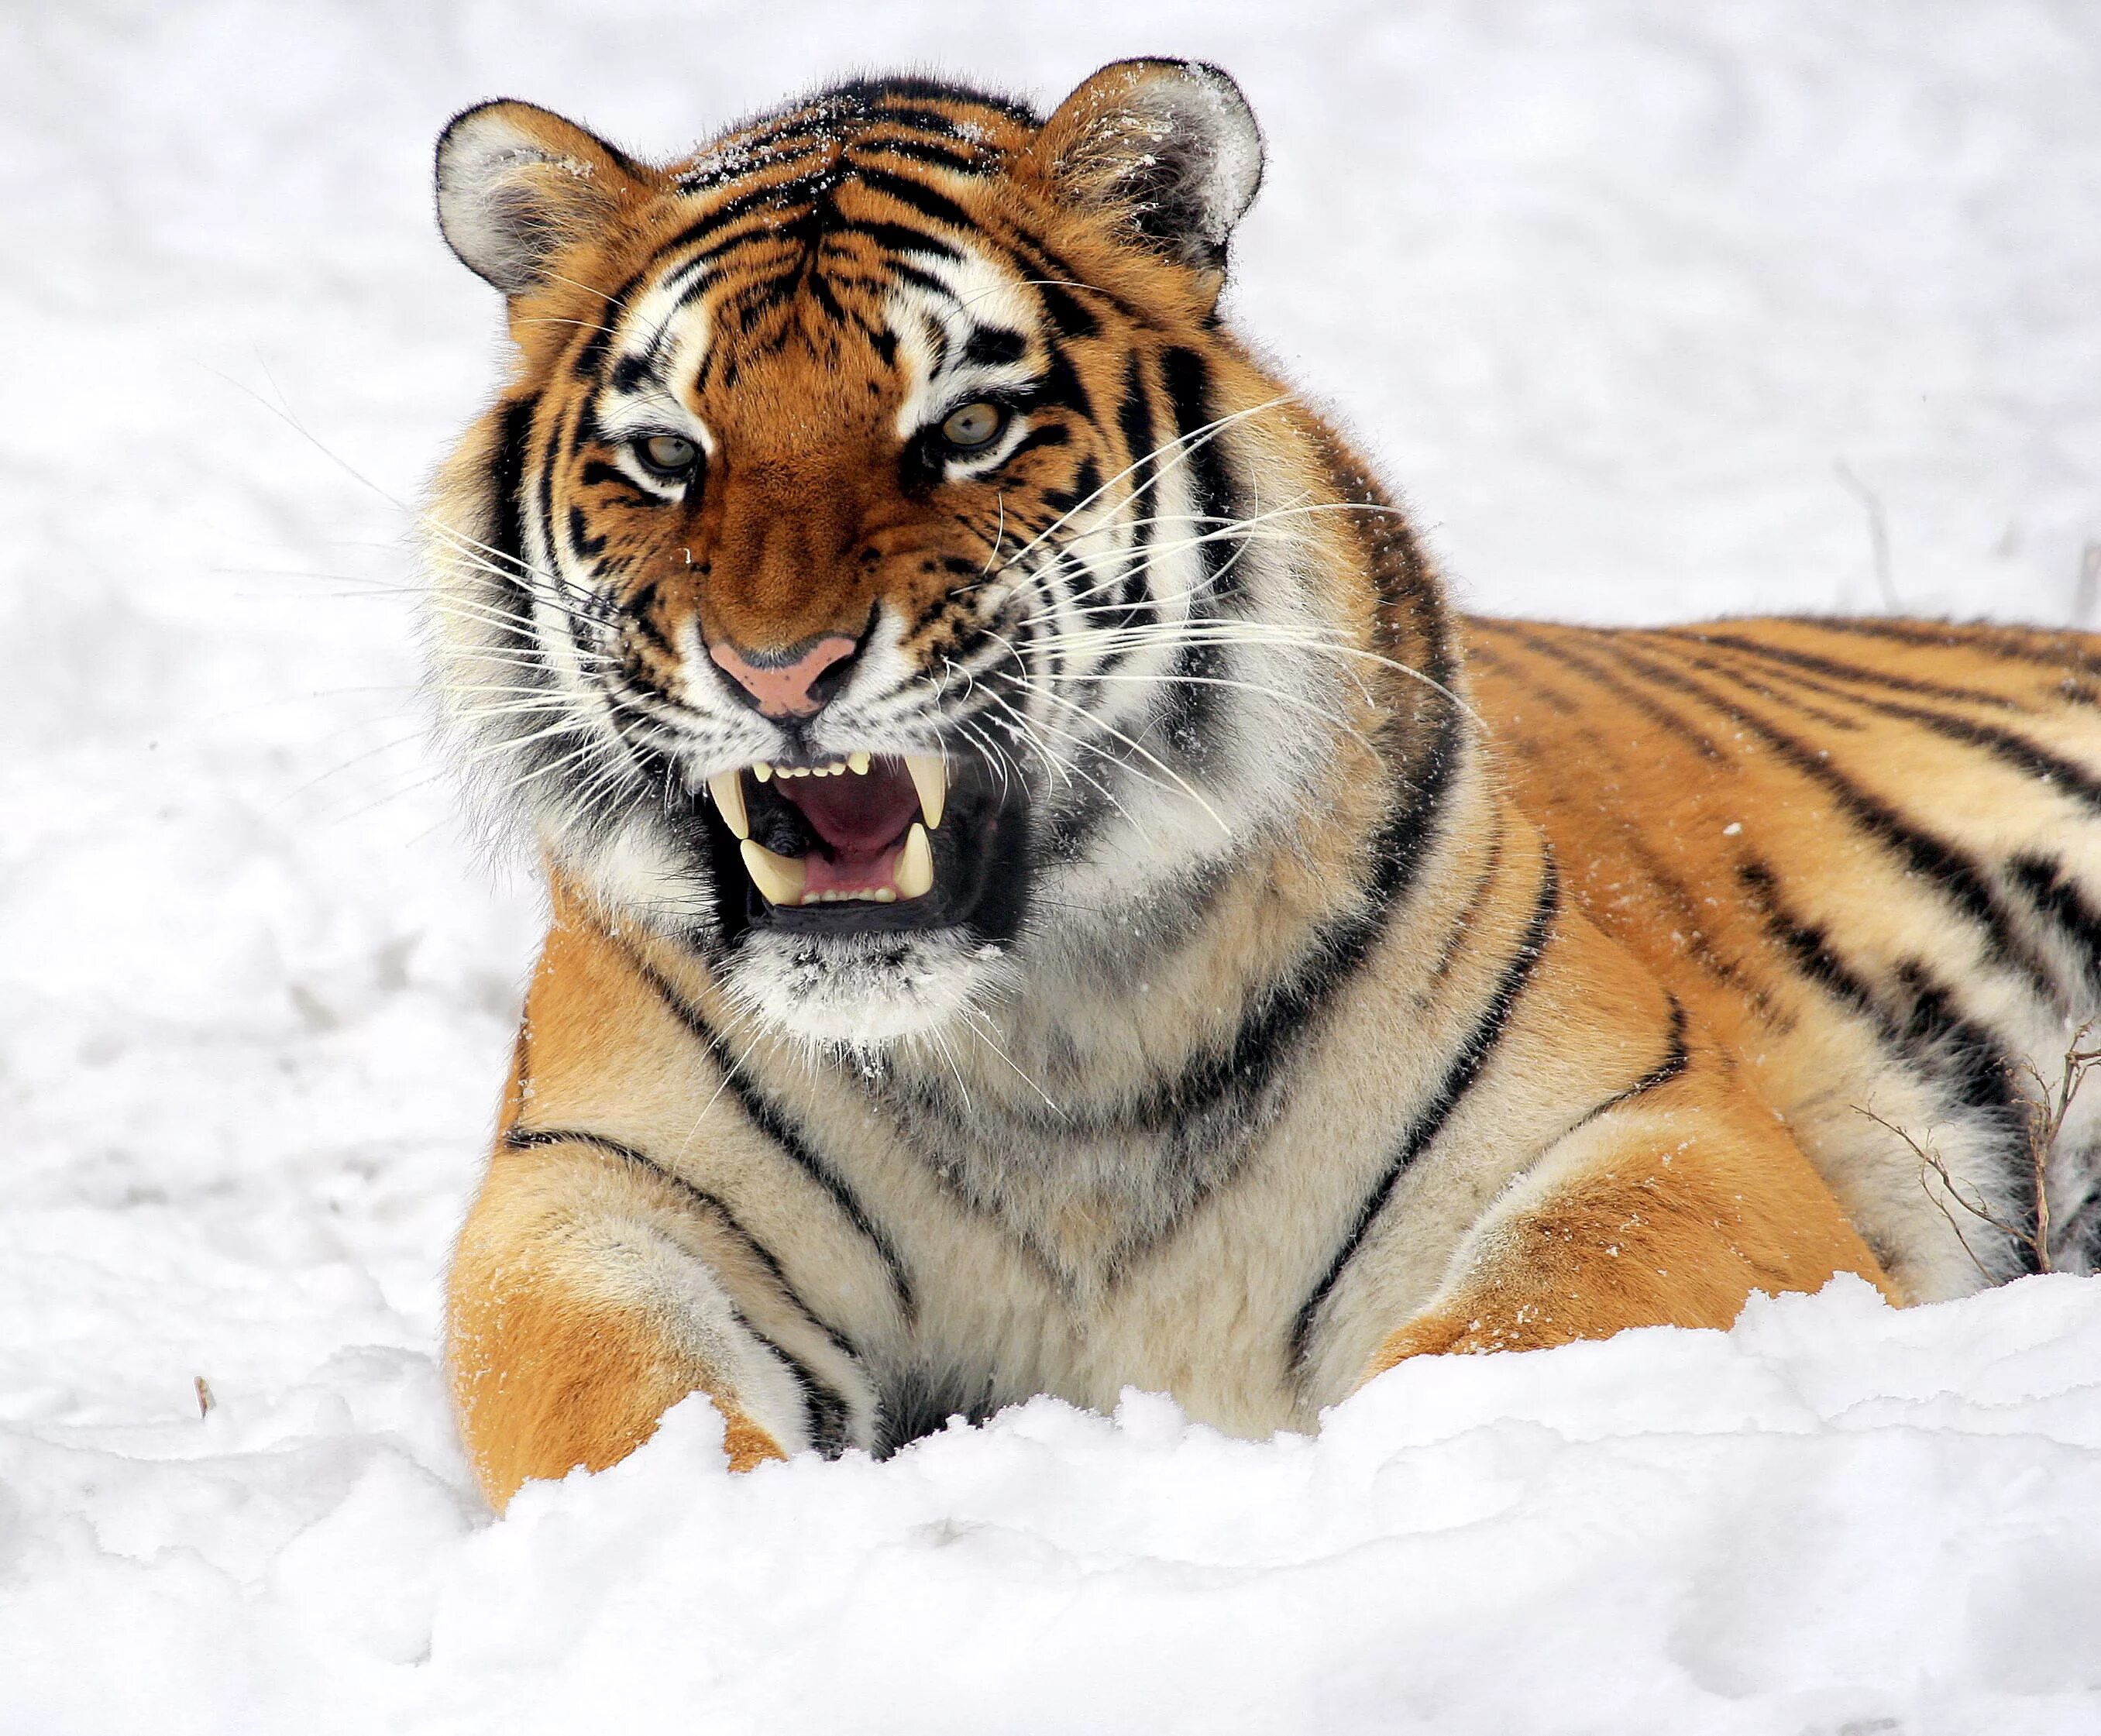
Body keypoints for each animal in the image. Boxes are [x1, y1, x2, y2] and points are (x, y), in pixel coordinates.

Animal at [422, 60, 2101, 1504]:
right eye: (668, 454)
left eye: (967, 427)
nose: (779, 671)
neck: (1038, 1044)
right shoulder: (590, 1192)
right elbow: (610, 1403)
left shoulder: (1655, 1126)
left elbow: (1530, 1321)